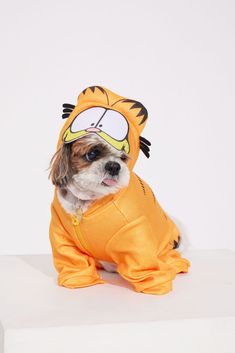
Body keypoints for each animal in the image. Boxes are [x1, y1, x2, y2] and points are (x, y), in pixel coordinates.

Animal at [48, 86, 190, 294]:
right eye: (92, 154)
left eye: (123, 158)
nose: (114, 166)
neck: (87, 202)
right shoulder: (63, 236)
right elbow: (72, 260)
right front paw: (79, 280)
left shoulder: (134, 230)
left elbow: (143, 262)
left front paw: (154, 284)